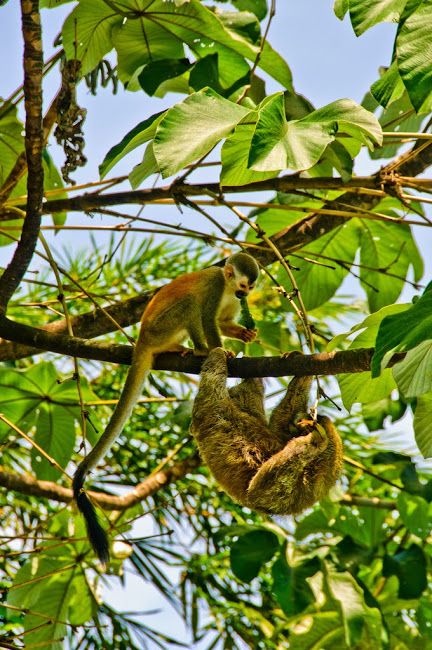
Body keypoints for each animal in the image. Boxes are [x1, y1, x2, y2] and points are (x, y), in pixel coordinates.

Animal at [73, 251, 260, 564]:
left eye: (249, 288)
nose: (243, 294)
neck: (227, 285)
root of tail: (141, 338)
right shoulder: (214, 285)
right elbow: (208, 318)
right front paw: (220, 350)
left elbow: (221, 320)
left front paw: (241, 333)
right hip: (160, 327)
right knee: (191, 305)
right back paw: (200, 350)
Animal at [191, 346, 342, 512]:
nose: (299, 422)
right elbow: (279, 422)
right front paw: (300, 369)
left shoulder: (296, 491)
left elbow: (259, 489)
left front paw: (315, 440)